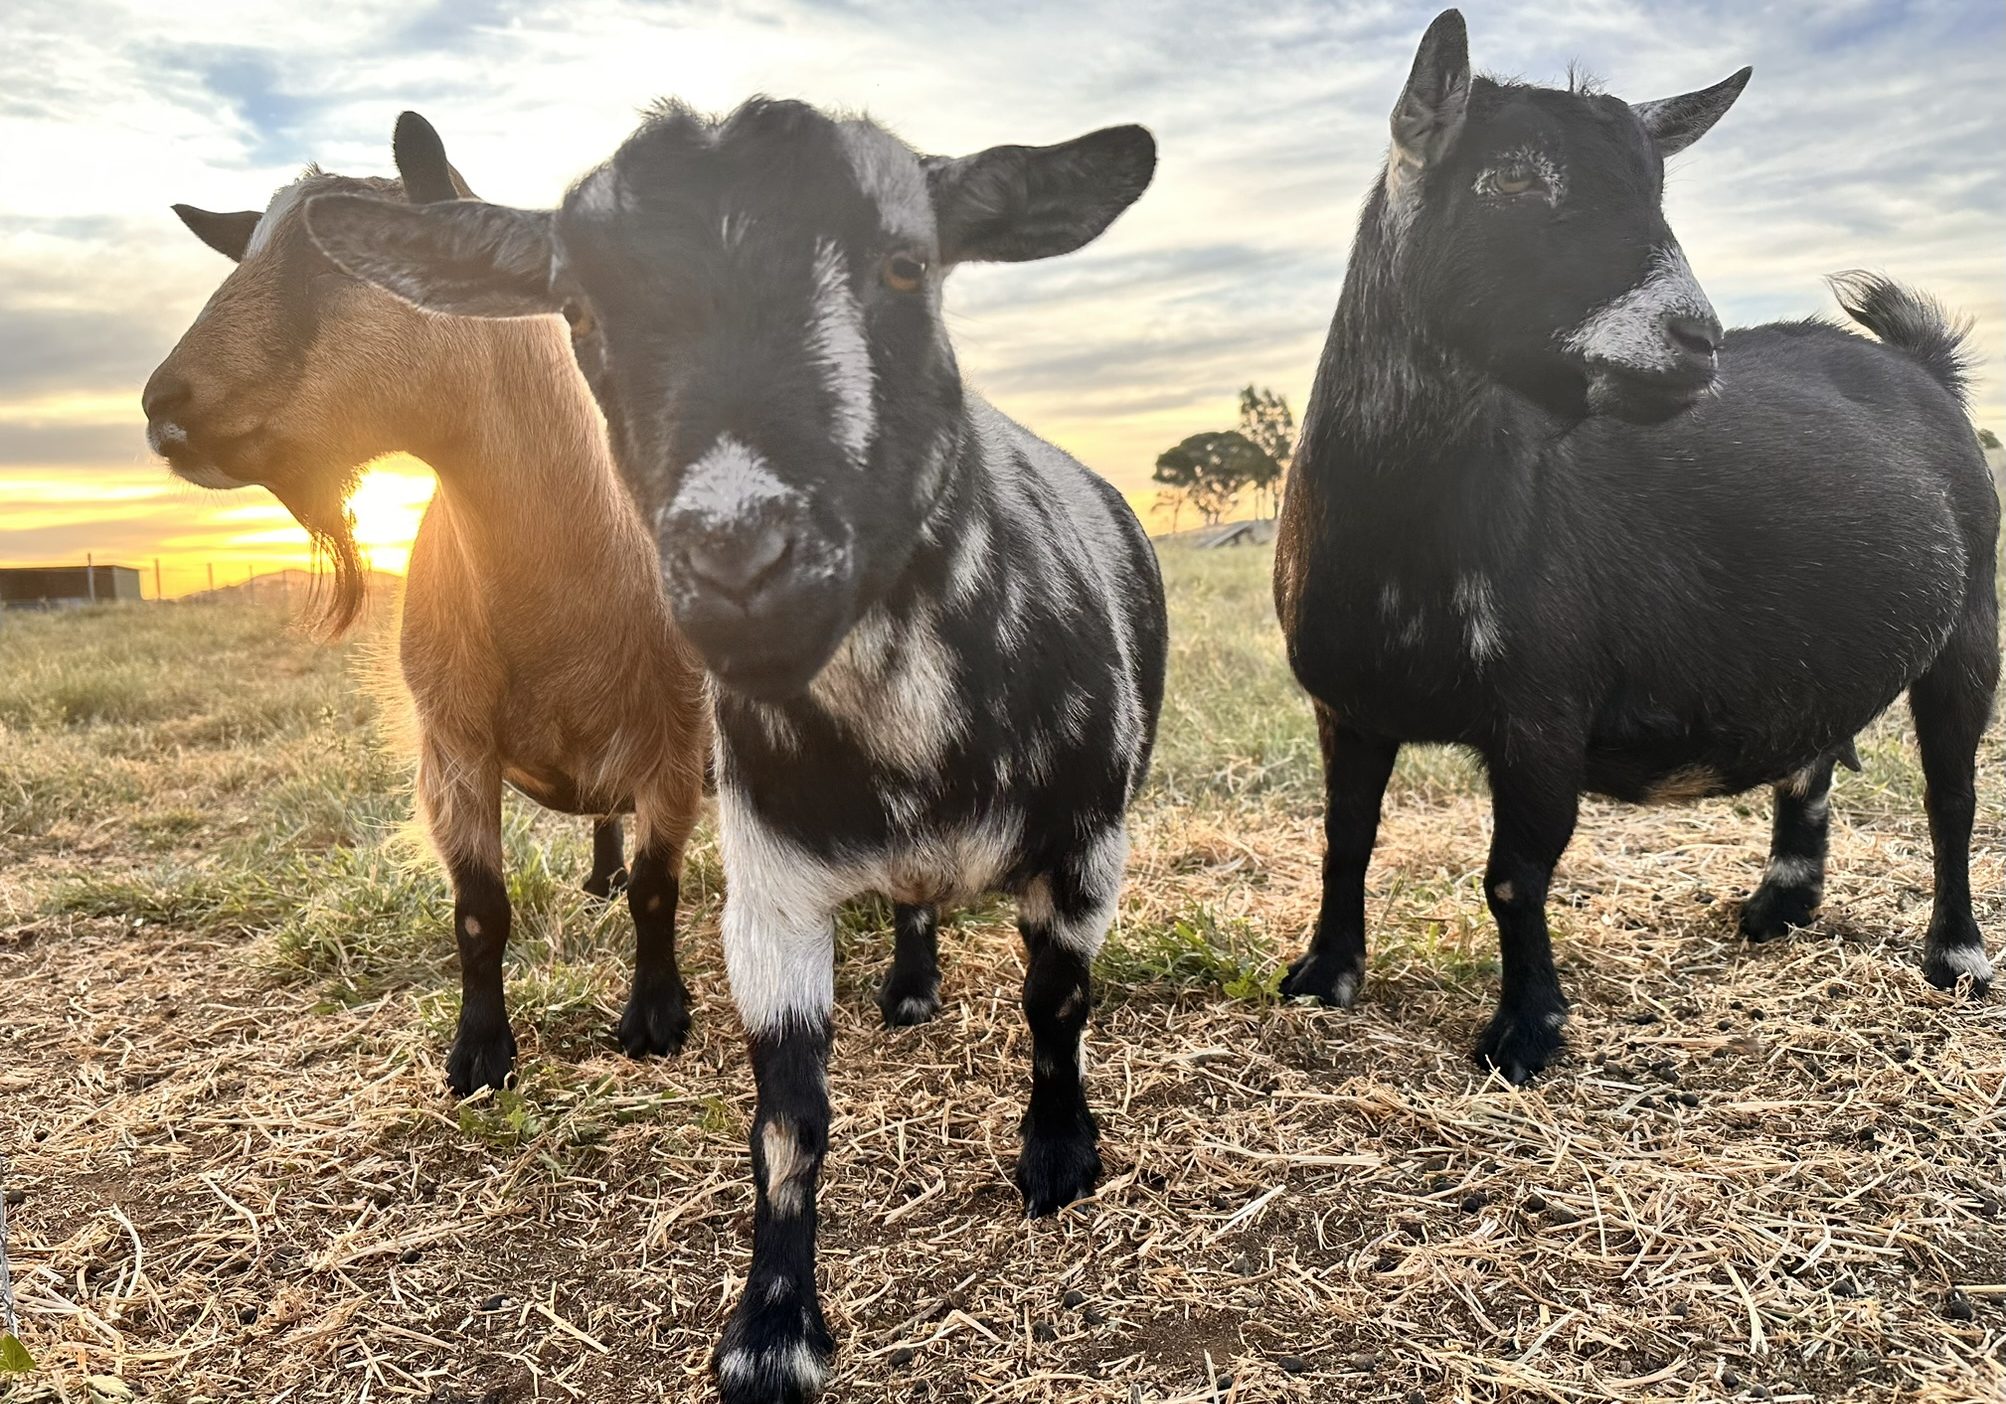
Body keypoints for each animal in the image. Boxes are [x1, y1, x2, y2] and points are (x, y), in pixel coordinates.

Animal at [139, 117, 714, 1099]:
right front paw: (479, 1051)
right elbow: (480, 909)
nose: (161, 406)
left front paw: (654, 1017)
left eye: (335, 255)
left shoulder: (673, 734)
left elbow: (657, 883)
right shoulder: (452, 743)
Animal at [304, 101, 1171, 1403]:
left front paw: (1059, 1159)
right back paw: (909, 985)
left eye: (905, 263)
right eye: (578, 310)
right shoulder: (769, 891)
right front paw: (770, 1331)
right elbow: (786, 1120)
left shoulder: (1087, 848)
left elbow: (1056, 1003)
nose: (737, 558)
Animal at [1275, 10, 1997, 1083]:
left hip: (1971, 619)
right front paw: (1323, 978)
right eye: (1512, 177)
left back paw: (1955, 956)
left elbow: (1514, 877)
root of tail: (1923, 367)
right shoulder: (1347, 704)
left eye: (1657, 186)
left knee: (1953, 794)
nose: (1696, 339)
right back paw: (1780, 904)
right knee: (1812, 756)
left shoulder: (1542, 711)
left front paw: (1526, 1033)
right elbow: (1345, 839)